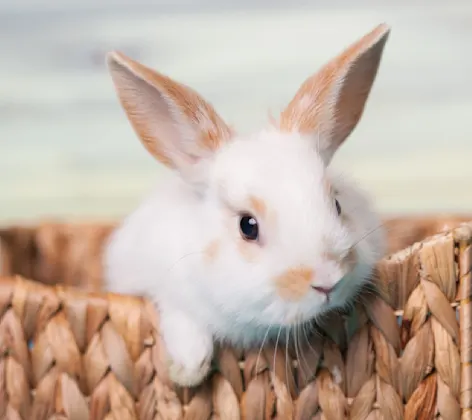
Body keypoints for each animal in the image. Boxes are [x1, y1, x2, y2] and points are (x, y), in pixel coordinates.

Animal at [103, 23, 390, 388]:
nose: (327, 281)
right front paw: (188, 370)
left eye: (337, 204)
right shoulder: (158, 286)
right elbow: (180, 318)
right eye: (247, 226)